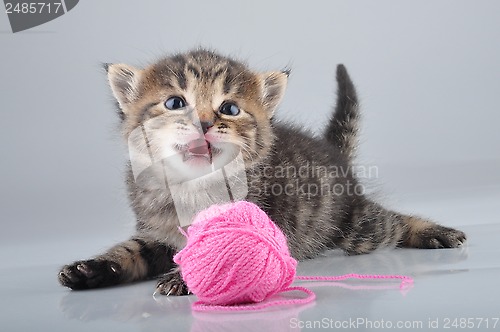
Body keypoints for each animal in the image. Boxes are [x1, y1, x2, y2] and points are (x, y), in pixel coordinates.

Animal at [59, 50, 468, 296]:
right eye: (175, 103)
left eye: (229, 108)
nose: (204, 122)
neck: (191, 187)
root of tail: (335, 155)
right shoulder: (155, 232)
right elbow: (130, 251)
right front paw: (89, 269)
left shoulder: (256, 227)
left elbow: (219, 252)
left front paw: (184, 278)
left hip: (354, 227)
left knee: (391, 221)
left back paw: (437, 232)